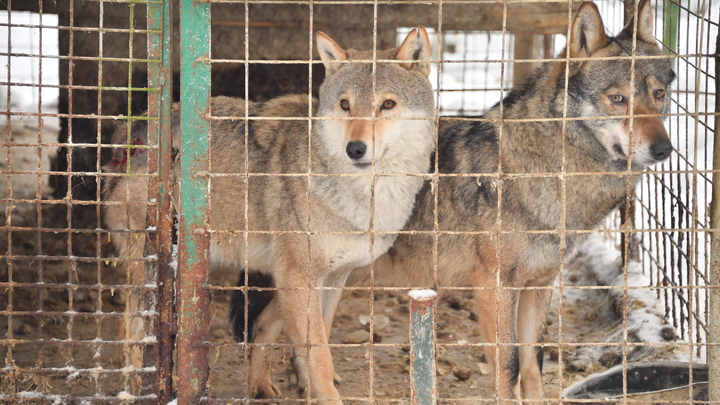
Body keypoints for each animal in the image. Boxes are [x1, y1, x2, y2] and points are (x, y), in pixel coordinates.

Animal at [103, 26, 436, 402]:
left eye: (387, 104)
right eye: (345, 104)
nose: (355, 149)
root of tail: (131, 129)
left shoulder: (333, 277)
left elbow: (311, 340)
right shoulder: (298, 276)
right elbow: (319, 356)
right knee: (130, 325)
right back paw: (135, 388)